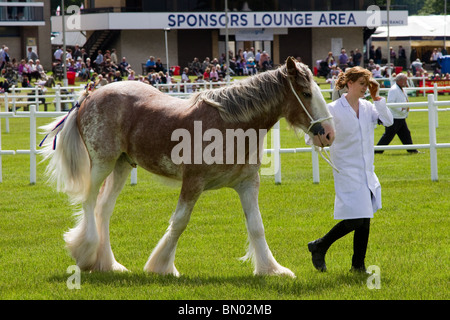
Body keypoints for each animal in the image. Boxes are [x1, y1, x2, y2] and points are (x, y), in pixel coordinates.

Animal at [41, 57, 334, 278]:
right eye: (306, 93)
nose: (329, 134)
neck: (231, 124)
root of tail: (90, 95)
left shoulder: (247, 184)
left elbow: (256, 226)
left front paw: (271, 269)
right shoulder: (193, 182)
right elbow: (180, 222)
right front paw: (161, 267)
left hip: (122, 166)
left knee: (103, 209)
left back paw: (108, 264)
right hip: (102, 163)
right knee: (89, 203)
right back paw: (85, 255)